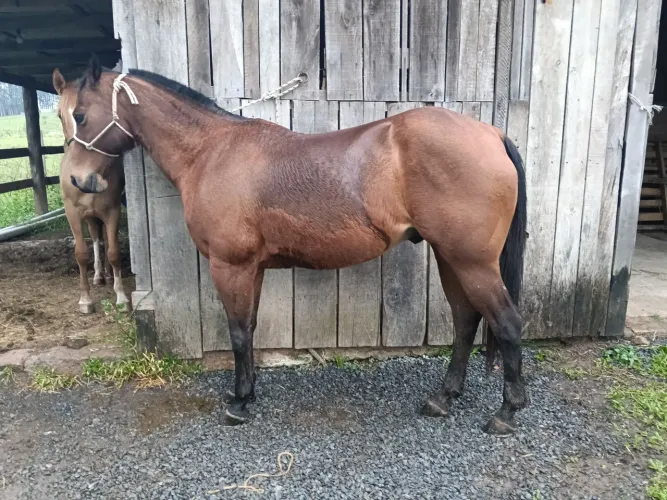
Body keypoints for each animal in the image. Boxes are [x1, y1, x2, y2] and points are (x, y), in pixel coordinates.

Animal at [52, 68, 130, 314]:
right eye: (59, 115)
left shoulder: (112, 211)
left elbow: (113, 251)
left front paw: (121, 296)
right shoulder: (73, 213)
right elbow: (81, 253)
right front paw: (85, 299)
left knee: (103, 240)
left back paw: (106, 275)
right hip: (88, 215)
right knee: (96, 239)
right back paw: (98, 276)